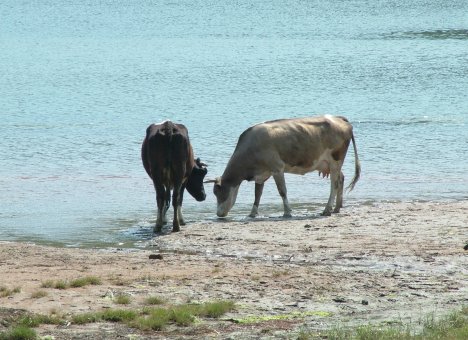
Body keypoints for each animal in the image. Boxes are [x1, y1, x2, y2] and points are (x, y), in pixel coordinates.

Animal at [210, 115, 360, 218]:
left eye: (218, 192)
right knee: (341, 178)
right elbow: (257, 194)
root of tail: (338, 118)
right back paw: (337, 208)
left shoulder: (277, 168)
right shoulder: (261, 174)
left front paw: (287, 212)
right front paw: (252, 213)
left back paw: (327, 210)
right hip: (330, 164)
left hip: (335, 160)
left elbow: (282, 191)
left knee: (334, 184)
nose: (218, 214)